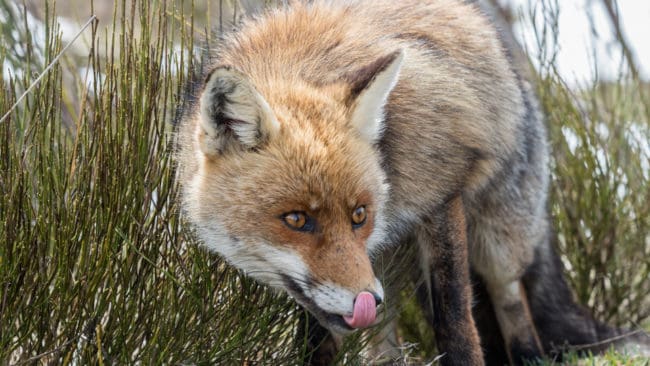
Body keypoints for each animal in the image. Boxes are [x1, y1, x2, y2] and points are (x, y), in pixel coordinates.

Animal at [175, 0, 644, 366]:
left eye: (359, 215)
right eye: (296, 220)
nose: (367, 299)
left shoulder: (441, 193)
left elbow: (454, 317)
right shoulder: (332, 289)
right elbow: (317, 338)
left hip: (496, 242)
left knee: (514, 305)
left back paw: (528, 354)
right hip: (385, 266)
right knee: (385, 345)